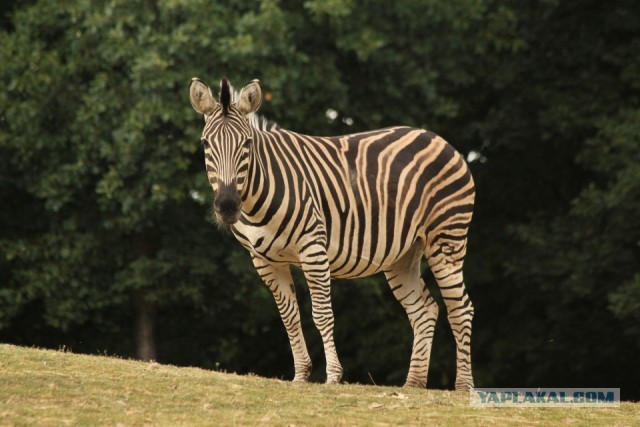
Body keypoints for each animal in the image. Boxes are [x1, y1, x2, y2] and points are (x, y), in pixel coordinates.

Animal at [190, 76, 476, 392]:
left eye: (247, 143)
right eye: (205, 143)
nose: (227, 206)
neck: (256, 199)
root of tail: (438, 139)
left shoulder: (313, 248)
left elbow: (321, 314)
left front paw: (333, 376)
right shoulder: (264, 260)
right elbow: (289, 317)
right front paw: (301, 375)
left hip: (447, 239)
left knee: (460, 308)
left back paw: (464, 386)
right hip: (403, 255)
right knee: (424, 309)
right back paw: (413, 384)